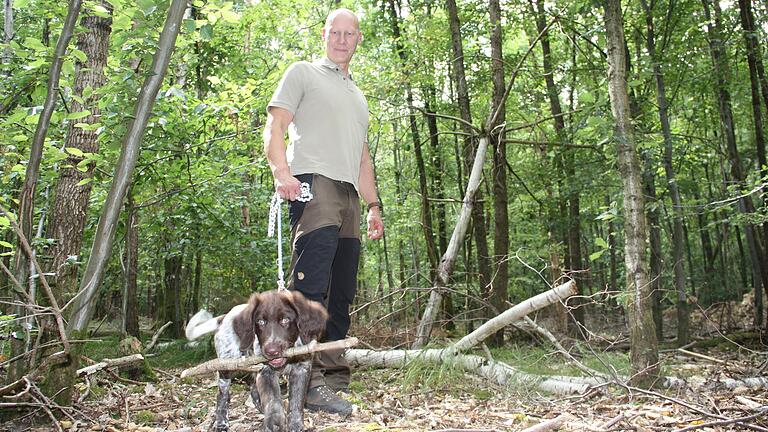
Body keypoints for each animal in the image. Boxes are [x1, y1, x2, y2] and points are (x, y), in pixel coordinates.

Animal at [189, 290, 330, 432]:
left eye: (285, 320)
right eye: (260, 322)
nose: (271, 351)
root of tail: (224, 317)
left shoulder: (301, 369)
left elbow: (296, 401)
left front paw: (295, 426)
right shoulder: (266, 371)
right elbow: (273, 400)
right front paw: (274, 423)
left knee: (252, 387)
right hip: (227, 364)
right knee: (222, 395)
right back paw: (221, 423)